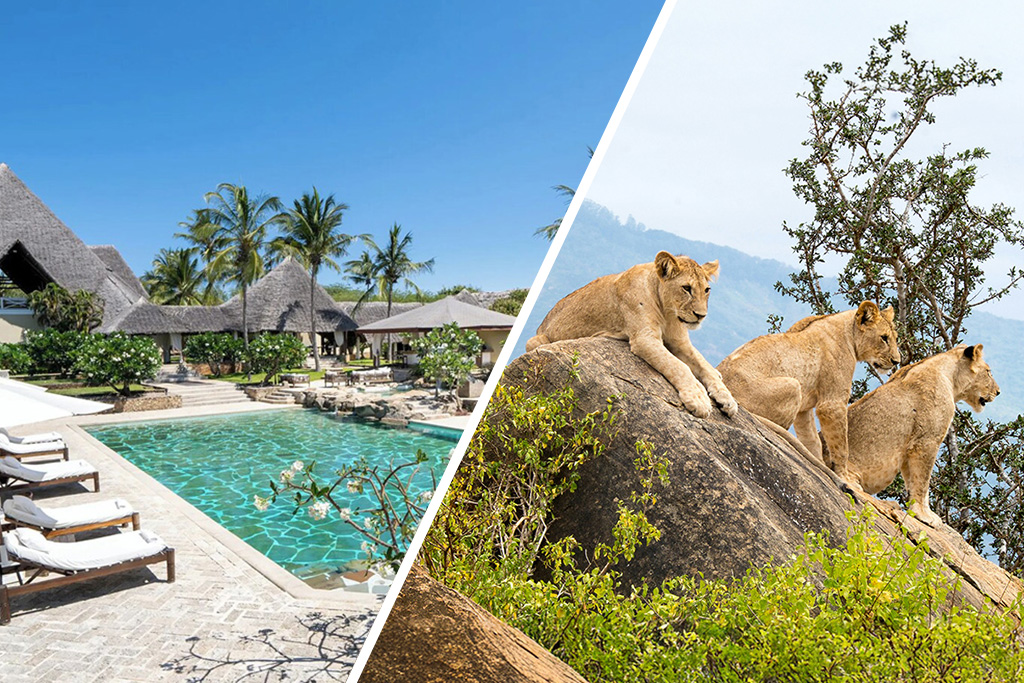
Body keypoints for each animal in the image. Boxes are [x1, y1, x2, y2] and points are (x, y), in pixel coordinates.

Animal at [525, 251, 738, 419]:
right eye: (686, 288)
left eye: (707, 290)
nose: (701, 315)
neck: (668, 311)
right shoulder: (644, 338)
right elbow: (679, 366)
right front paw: (699, 399)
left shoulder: (680, 342)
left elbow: (703, 365)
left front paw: (727, 398)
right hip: (535, 341)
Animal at [717, 301, 901, 482]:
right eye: (884, 338)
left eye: (895, 338)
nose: (896, 361)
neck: (849, 333)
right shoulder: (831, 405)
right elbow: (841, 446)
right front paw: (844, 476)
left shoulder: (804, 410)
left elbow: (812, 440)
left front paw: (820, 465)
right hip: (793, 385)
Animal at [839, 344, 1000, 527]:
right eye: (988, 371)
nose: (998, 392)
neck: (951, 378)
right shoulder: (926, 442)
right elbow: (923, 481)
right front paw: (924, 515)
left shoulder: (910, 447)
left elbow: (912, 481)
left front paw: (918, 511)